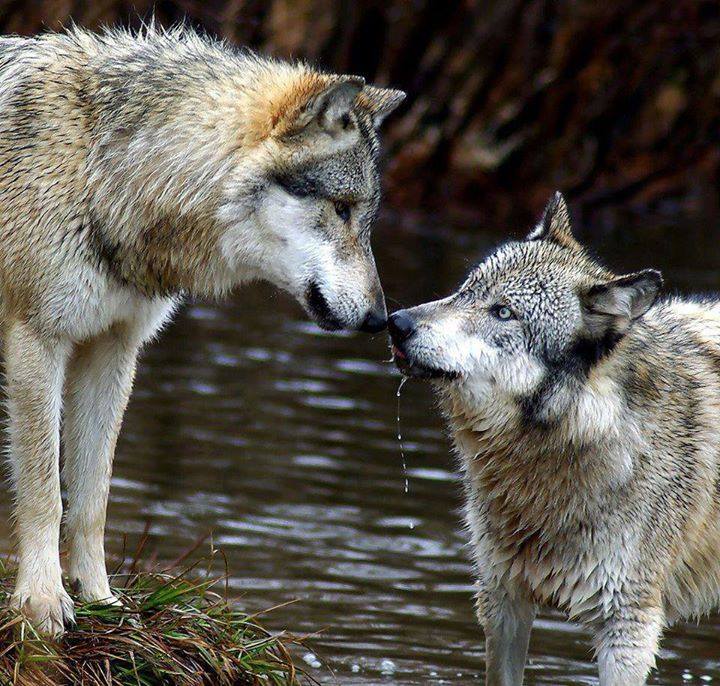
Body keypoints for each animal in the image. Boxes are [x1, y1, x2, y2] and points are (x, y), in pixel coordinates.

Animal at [0, 24, 404, 636]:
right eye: (341, 209)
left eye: (367, 217)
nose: (382, 319)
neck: (104, 169)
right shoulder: (37, 341)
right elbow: (47, 491)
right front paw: (43, 603)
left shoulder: (114, 349)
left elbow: (93, 496)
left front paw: (101, 599)